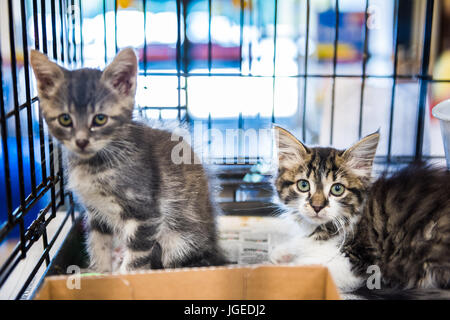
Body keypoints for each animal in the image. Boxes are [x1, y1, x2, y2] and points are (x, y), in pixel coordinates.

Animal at [29, 48, 225, 272]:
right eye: (65, 119)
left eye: (100, 119)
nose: (81, 142)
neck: (95, 164)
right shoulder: (96, 213)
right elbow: (97, 243)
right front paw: (100, 271)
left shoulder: (145, 213)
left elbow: (137, 257)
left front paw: (125, 274)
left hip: (180, 240)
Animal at [270, 125, 450, 296]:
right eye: (303, 185)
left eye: (337, 189)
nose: (317, 206)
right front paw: (283, 251)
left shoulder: (359, 263)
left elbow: (311, 267)